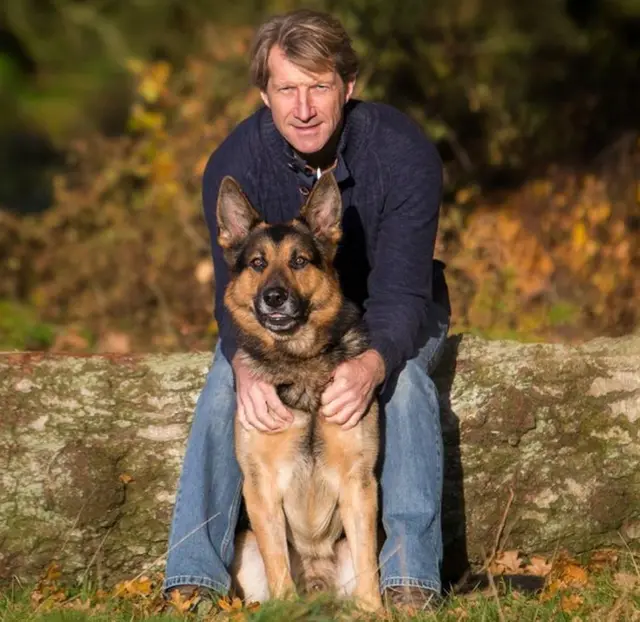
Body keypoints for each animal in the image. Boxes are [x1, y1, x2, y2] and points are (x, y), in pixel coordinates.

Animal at [216, 173, 380, 612]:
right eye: (258, 264)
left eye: (299, 261)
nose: (274, 297)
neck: (299, 361)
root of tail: (320, 585)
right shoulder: (261, 486)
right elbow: (277, 562)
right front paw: (286, 608)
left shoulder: (359, 484)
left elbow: (369, 564)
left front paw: (375, 612)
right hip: (246, 547)